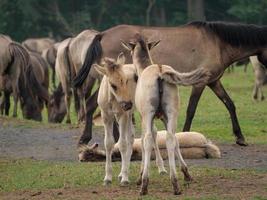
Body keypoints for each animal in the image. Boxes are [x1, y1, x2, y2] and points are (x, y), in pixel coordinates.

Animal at [74, 21, 267, 147]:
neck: (217, 43)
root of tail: (102, 34)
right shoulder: (200, 83)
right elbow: (191, 110)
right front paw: (185, 134)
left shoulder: (214, 81)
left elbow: (230, 104)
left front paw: (240, 137)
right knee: (96, 104)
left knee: (92, 104)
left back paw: (92, 137)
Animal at [122, 34, 211, 195]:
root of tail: (160, 72)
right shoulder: (164, 117)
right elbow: (175, 140)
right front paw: (186, 174)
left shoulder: (145, 117)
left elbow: (146, 139)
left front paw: (140, 176)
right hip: (172, 112)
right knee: (171, 138)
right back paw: (175, 182)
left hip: (148, 113)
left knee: (148, 139)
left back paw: (144, 184)